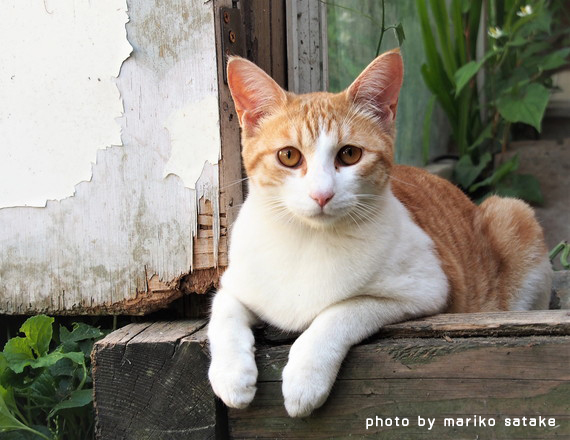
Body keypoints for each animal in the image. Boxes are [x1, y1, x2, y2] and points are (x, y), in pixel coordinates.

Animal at [205, 49, 552, 418]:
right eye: (288, 155)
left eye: (349, 154)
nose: (322, 194)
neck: (308, 239)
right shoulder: (236, 282)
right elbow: (222, 311)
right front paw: (231, 375)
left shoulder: (427, 289)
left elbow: (341, 311)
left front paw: (305, 376)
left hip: (513, 214)